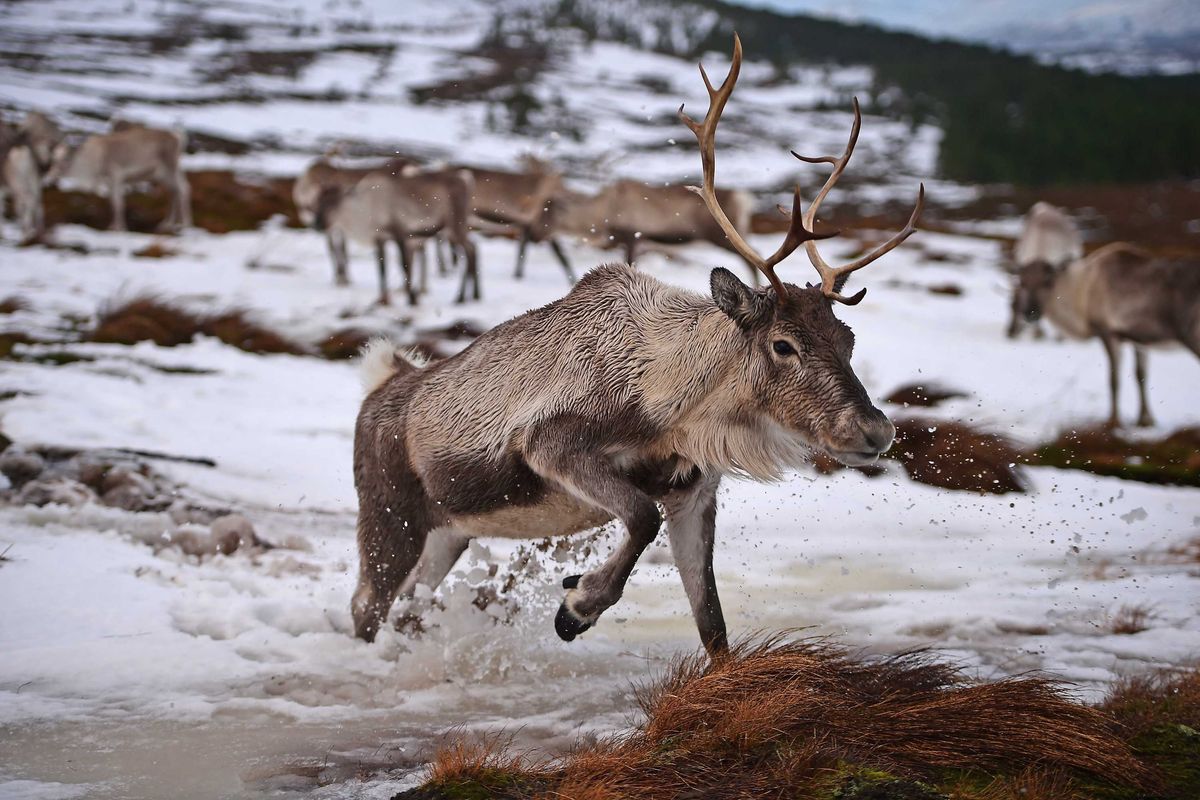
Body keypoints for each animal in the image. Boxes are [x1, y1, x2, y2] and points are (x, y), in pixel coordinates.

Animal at [45, 124, 190, 232]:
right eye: (53, 160)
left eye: (63, 161)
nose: (49, 180)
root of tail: (178, 138)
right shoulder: (108, 181)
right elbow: (112, 202)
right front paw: (113, 226)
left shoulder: (116, 176)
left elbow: (118, 203)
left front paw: (119, 228)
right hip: (163, 174)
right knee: (179, 190)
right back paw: (170, 224)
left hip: (170, 169)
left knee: (180, 190)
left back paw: (181, 225)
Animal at [313, 165, 479, 306]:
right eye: (318, 201)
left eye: (333, 202)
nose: (317, 224)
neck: (365, 212)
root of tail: (466, 180)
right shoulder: (380, 238)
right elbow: (382, 269)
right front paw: (383, 300)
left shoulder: (400, 233)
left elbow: (404, 266)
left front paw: (411, 299)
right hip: (452, 230)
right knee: (472, 248)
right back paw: (473, 295)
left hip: (455, 226)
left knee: (470, 250)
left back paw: (461, 297)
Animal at [348, 34, 923, 656]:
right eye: (783, 344)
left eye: (847, 337)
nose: (875, 430)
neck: (676, 409)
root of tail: (381, 382)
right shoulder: (553, 446)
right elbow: (641, 518)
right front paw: (576, 606)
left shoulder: (694, 493)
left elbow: (712, 622)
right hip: (390, 516)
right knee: (365, 605)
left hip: (449, 531)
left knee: (410, 604)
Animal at [1012, 242, 1200, 428]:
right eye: (1022, 281)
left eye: (1047, 281)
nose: (1029, 313)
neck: (1081, 296)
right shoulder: (1138, 339)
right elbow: (1141, 376)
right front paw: (1145, 420)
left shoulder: (1107, 332)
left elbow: (1114, 380)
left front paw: (1114, 421)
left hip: (1193, 337)